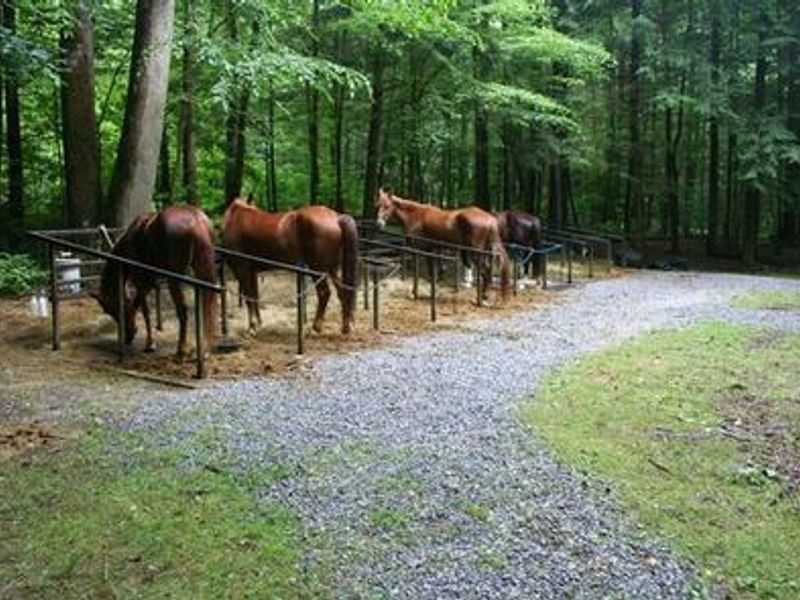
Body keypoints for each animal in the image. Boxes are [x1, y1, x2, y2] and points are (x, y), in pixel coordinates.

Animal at [92, 205, 218, 357]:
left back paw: (181, 348)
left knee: (182, 310)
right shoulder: (149, 281)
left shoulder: (140, 280)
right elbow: (136, 304)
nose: (128, 336)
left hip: (174, 280)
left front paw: (150, 344)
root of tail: (196, 221)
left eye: (111, 310)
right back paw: (206, 347)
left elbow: (145, 310)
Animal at [222, 197, 358, 335]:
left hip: (317, 269)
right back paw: (346, 327)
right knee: (342, 292)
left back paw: (316, 327)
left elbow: (248, 297)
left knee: (324, 293)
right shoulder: (252, 271)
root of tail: (336, 217)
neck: (236, 219)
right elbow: (255, 296)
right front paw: (258, 324)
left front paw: (252, 327)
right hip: (332, 269)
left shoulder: (241, 268)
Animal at [374, 187, 510, 301]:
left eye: (387, 206)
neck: (415, 216)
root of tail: (490, 219)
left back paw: (480, 298)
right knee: (488, 272)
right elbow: (433, 272)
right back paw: (484, 296)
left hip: (476, 253)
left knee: (485, 272)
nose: (379, 224)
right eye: (377, 205)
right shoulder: (432, 250)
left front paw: (414, 293)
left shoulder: (420, 250)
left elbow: (422, 273)